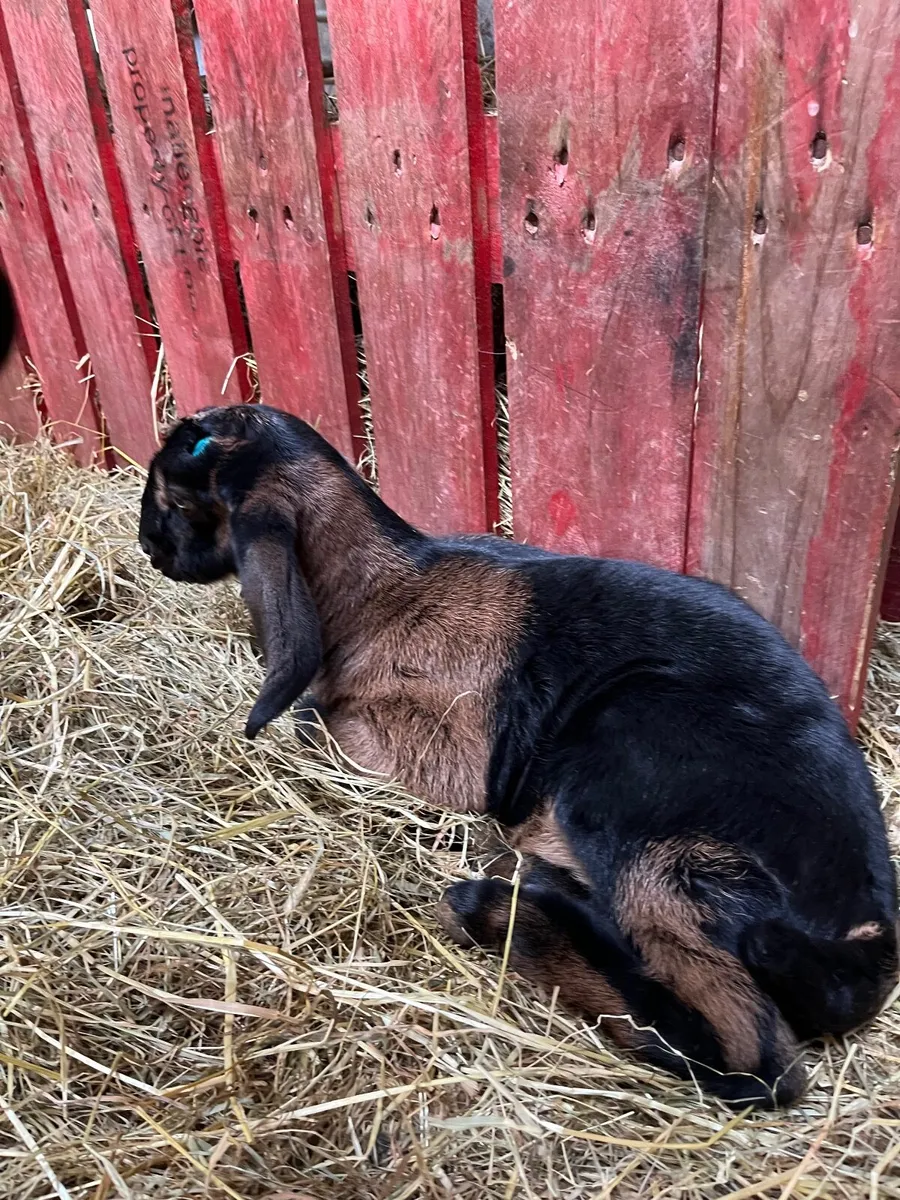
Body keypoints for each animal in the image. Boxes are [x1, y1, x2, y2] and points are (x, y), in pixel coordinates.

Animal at [139, 402, 899, 1108]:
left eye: (175, 499)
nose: (148, 547)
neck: (375, 596)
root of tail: (862, 941)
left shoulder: (436, 747)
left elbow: (310, 722)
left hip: (631, 785)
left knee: (756, 1056)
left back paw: (496, 908)